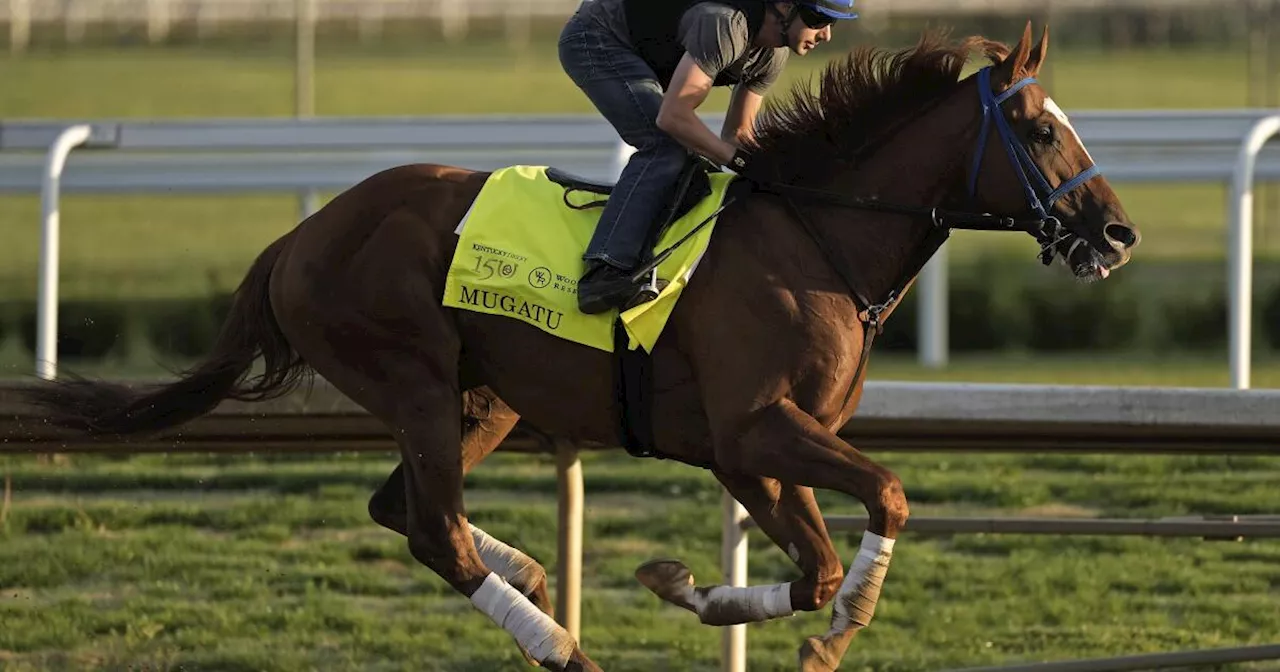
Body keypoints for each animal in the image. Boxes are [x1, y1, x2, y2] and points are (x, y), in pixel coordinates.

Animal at [20, 20, 1141, 670]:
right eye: (1039, 130)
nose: (1117, 233)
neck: (813, 237)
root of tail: (299, 236)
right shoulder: (757, 429)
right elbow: (886, 502)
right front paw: (827, 636)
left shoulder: (747, 450)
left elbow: (819, 562)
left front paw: (690, 587)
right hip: (414, 377)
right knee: (433, 530)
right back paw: (559, 644)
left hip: (486, 397)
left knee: (406, 512)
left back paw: (532, 582)